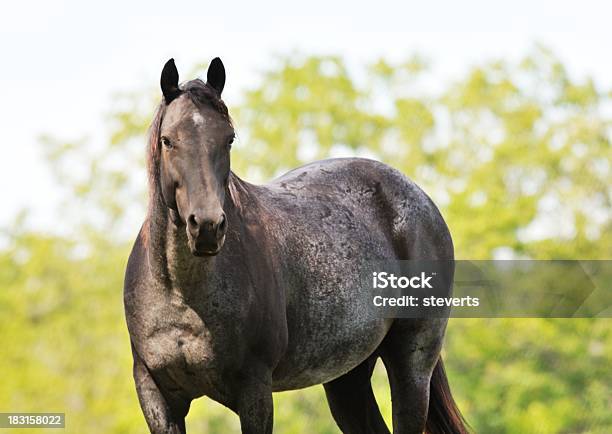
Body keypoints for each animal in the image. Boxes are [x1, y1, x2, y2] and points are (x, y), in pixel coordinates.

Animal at [124, 57, 468, 434]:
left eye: (229, 138)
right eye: (168, 140)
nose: (208, 227)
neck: (182, 294)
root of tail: (420, 197)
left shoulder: (254, 390)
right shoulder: (156, 395)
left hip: (412, 365)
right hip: (348, 376)